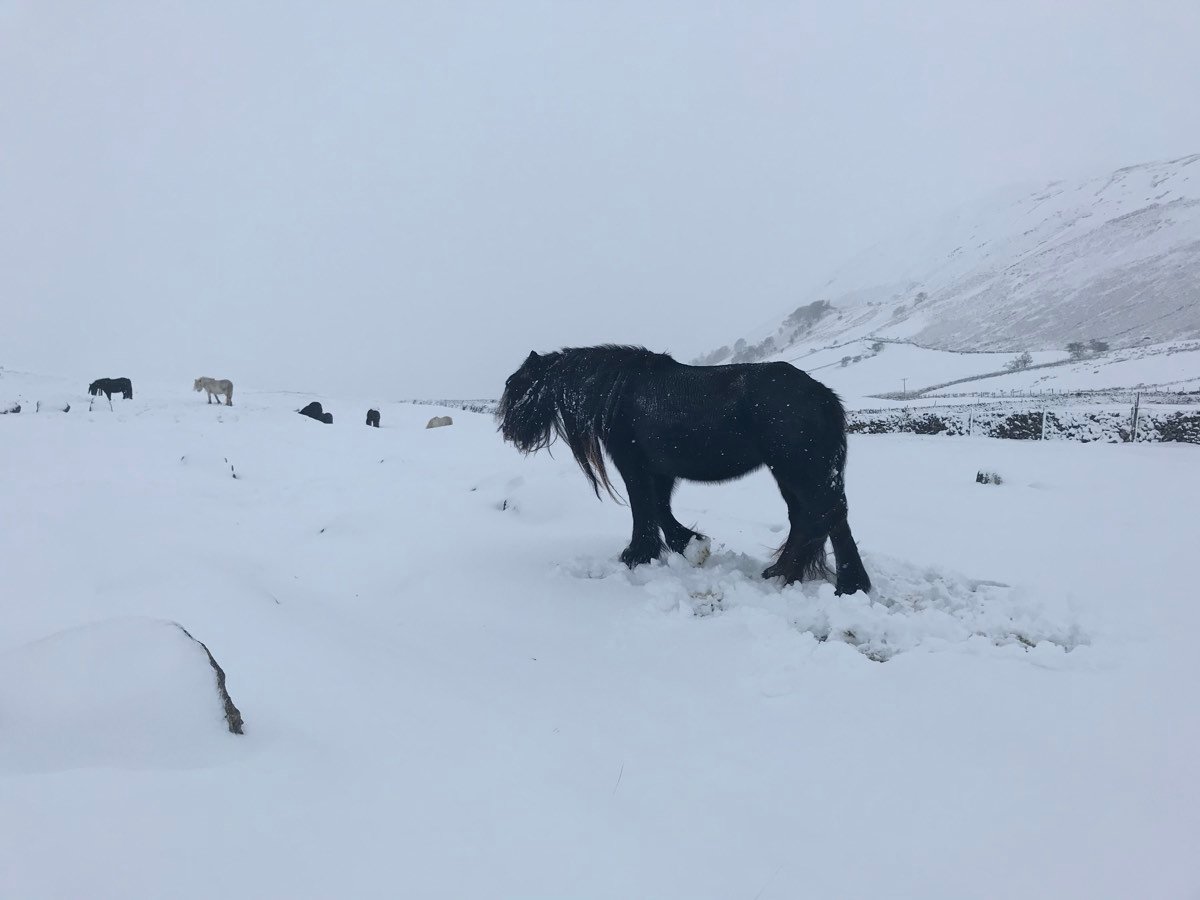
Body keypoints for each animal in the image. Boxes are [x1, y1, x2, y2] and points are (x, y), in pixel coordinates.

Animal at [497, 345, 871, 595]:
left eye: (519, 387)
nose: (508, 430)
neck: (617, 390)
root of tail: (823, 396)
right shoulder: (660, 469)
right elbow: (660, 508)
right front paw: (690, 545)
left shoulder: (634, 465)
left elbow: (644, 507)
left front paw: (637, 554)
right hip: (790, 474)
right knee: (808, 519)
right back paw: (782, 571)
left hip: (801, 471)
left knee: (828, 516)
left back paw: (849, 584)